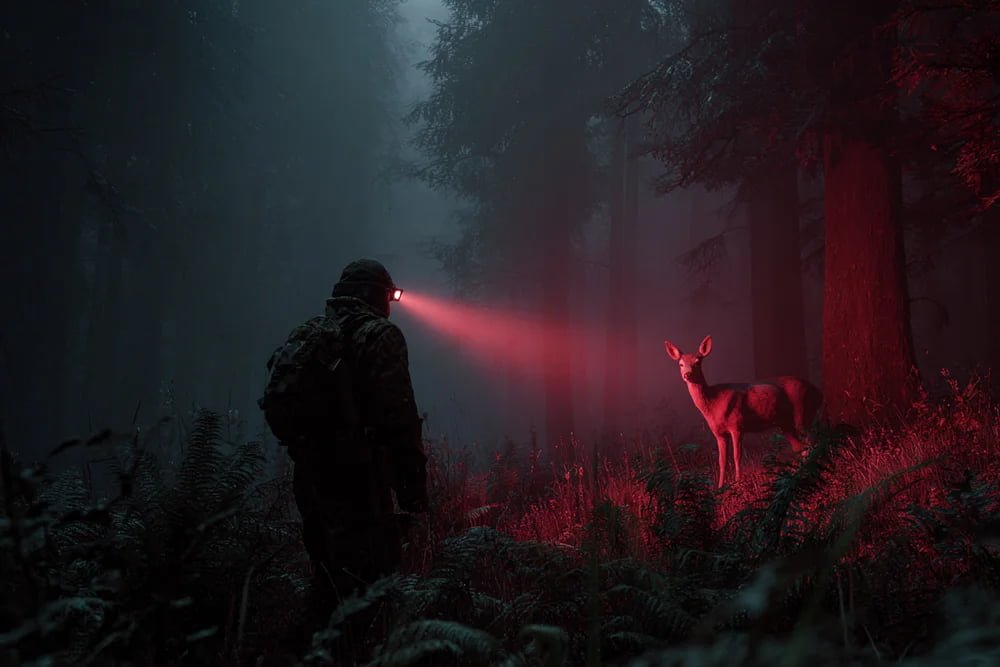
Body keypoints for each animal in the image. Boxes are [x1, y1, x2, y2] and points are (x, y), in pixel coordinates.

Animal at [663, 335, 823, 488]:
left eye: (698, 362)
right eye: (681, 364)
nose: (687, 374)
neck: (713, 403)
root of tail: (817, 391)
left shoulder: (737, 425)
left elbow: (736, 456)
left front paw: (738, 483)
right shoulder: (718, 433)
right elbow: (721, 460)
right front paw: (720, 487)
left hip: (802, 413)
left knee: (811, 442)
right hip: (786, 424)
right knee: (800, 447)